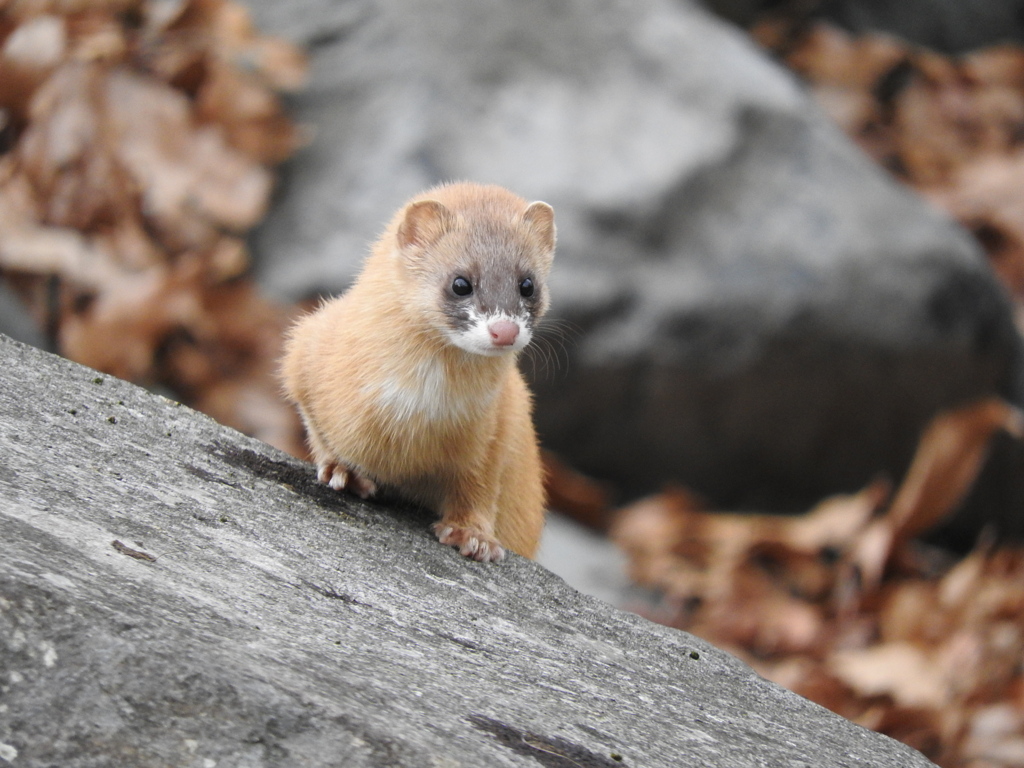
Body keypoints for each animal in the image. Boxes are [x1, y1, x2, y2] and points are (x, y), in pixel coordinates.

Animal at [280, 183, 557, 561]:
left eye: (528, 284)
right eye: (460, 282)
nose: (504, 331)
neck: (416, 414)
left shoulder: (498, 424)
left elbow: (479, 486)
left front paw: (473, 536)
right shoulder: (305, 348)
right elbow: (313, 424)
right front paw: (343, 469)